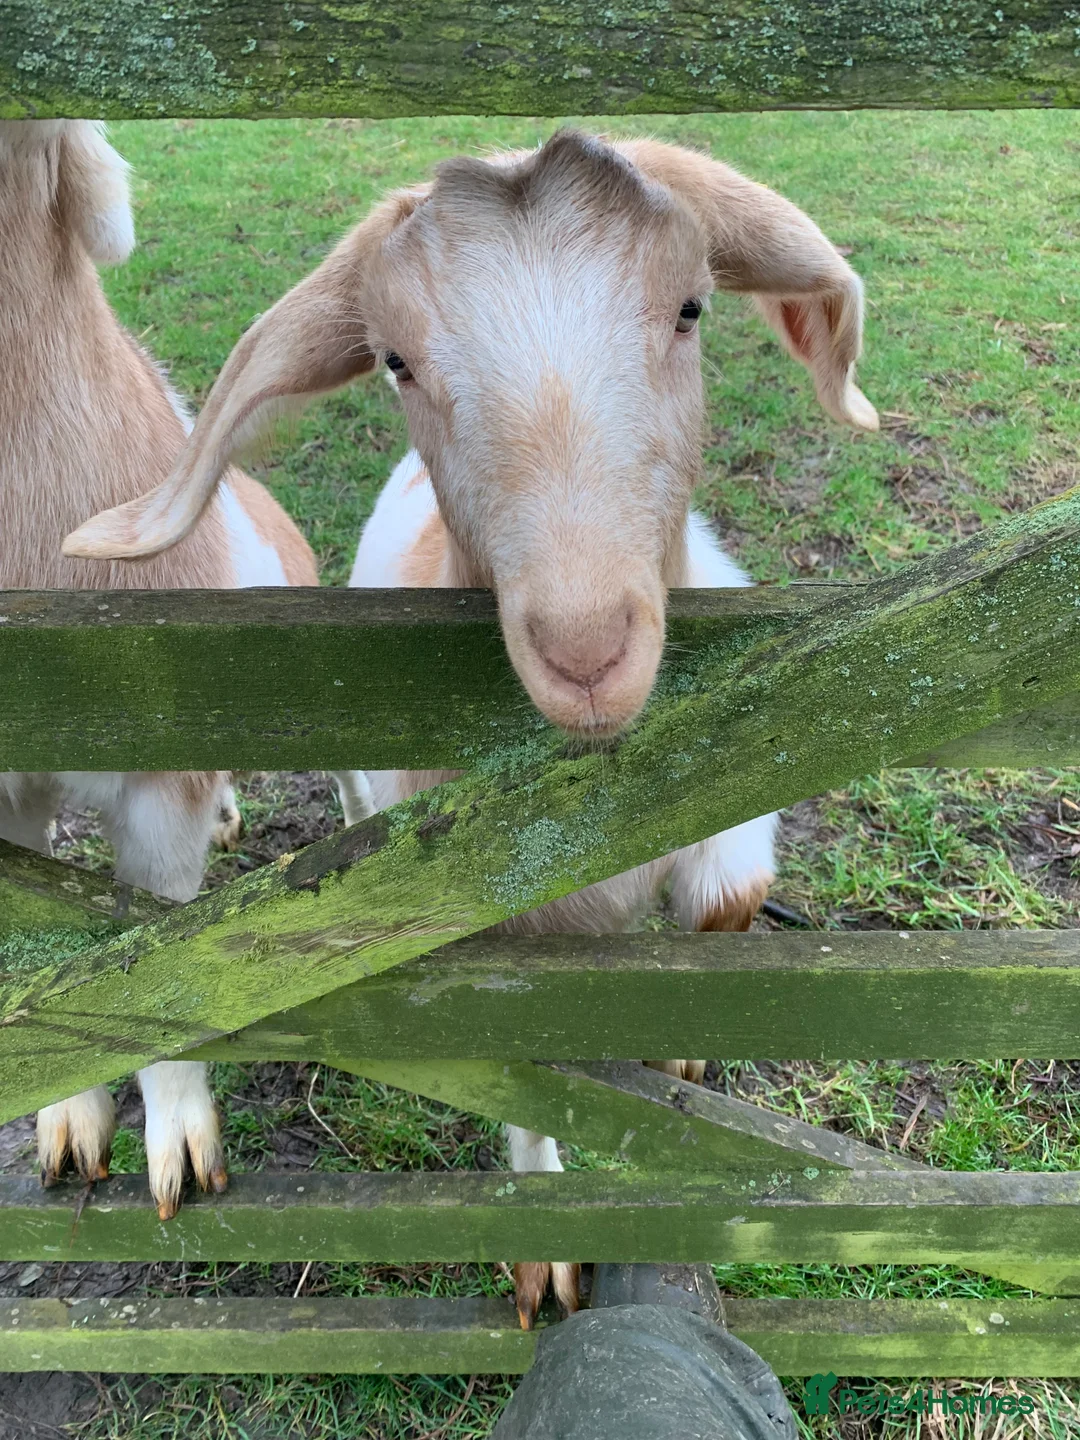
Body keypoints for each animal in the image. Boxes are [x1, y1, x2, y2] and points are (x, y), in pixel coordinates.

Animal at [64, 130, 877, 1317]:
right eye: (396, 361)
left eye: (691, 307)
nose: (587, 652)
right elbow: (522, 1070)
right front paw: (545, 1254)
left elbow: (728, 901)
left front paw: (685, 1051)